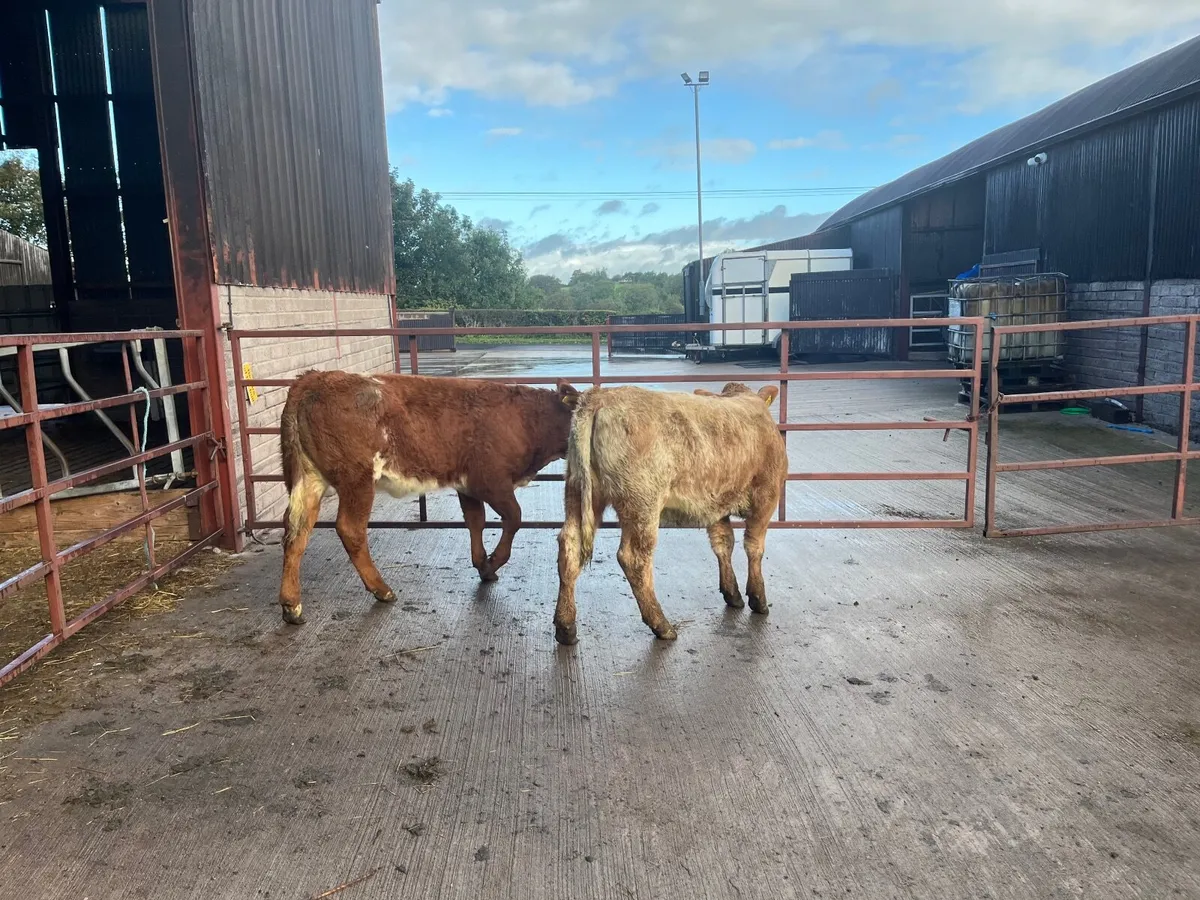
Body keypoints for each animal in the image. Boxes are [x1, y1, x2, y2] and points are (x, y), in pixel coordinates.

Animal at [276, 370, 581, 625]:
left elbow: (476, 521)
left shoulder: (468, 486)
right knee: (349, 529)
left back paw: (292, 605)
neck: (527, 419)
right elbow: (514, 518)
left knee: (296, 530)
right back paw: (382, 590)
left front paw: (482, 565)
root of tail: (314, 378)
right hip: (357, 479)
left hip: (308, 479)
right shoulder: (491, 482)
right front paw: (493, 562)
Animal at [553, 381, 788, 645]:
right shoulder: (767, 495)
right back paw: (662, 626)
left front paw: (733, 594)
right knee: (634, 559)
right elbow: (754, 547)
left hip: (578, 490)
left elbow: (723, 543)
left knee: (570, 547)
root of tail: (600, 396)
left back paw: (565, 627)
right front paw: (758, 599)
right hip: (642, 503)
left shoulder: (716, 503)